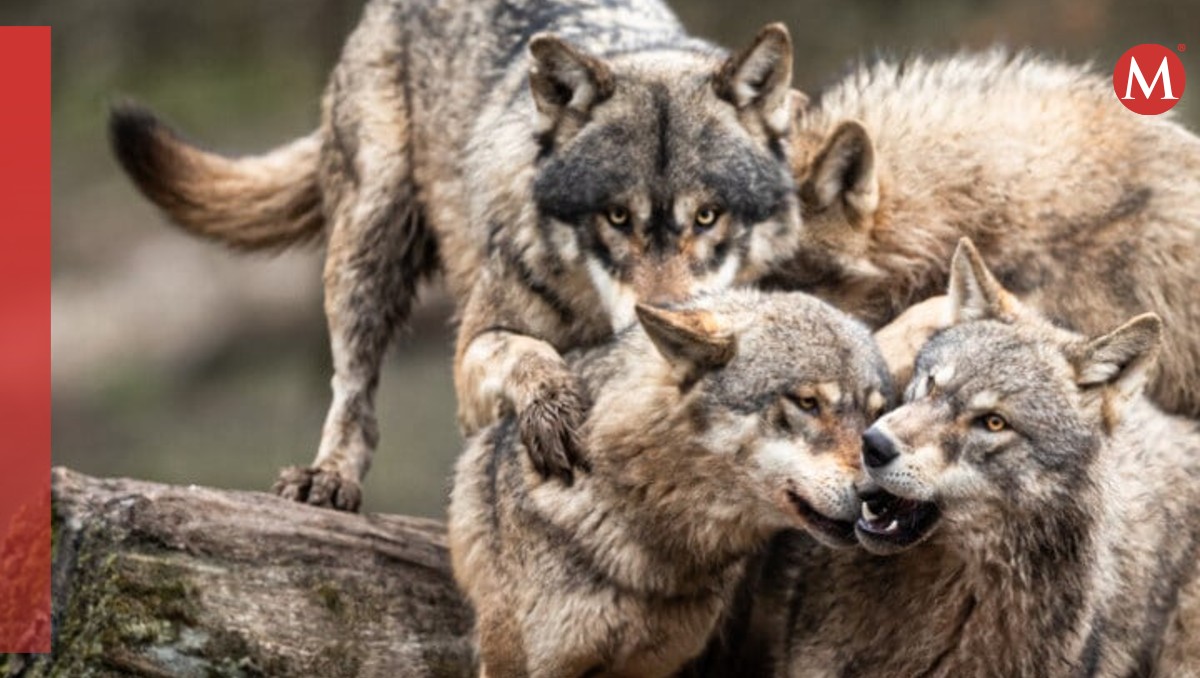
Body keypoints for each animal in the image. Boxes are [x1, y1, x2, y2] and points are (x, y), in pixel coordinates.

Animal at [108, 0, 801, 510]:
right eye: (616, 217)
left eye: (707, 216)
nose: (662, 329)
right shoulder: (472, 356)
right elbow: (527, 353)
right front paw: (555, 408)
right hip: (371, 241)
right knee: (353, 391)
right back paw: (326, 478)